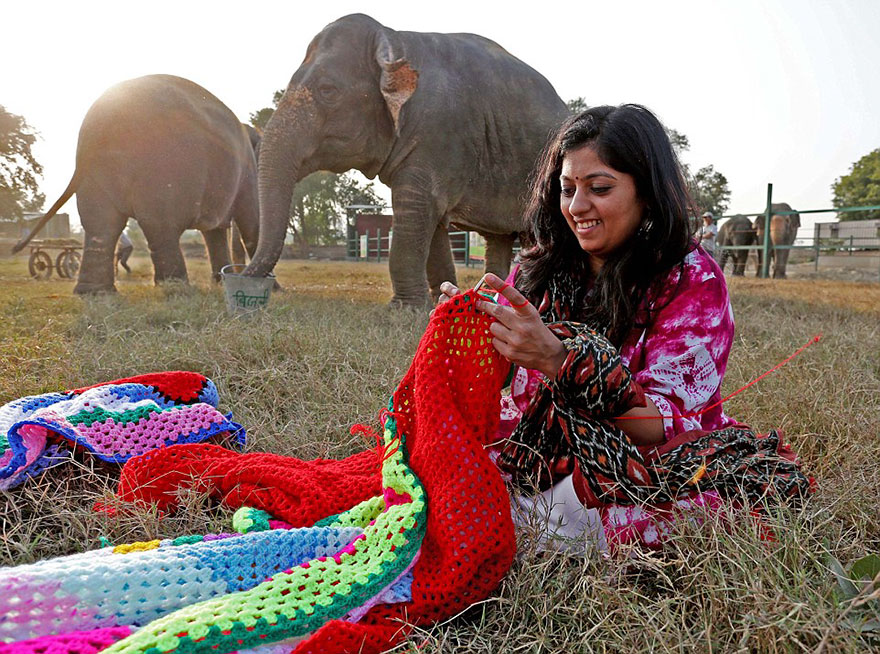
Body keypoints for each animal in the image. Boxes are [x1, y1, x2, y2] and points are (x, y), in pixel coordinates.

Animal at [12, 74, 260, 293]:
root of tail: (99, 126)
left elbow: (217, 229)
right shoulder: (248, 167)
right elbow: (250, 219)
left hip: (96, 173)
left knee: (101, 222)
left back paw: (95, 293)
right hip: (164, 165)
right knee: (160, 222)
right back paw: (177, 290)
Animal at [244, 13, 569, 307]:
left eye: (328, 90)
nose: (244, 279)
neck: (394, 41)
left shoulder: (440, 134)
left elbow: (415, 210)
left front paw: (404, 308)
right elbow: (432, 221)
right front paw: (437, 298)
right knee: (498, 240)